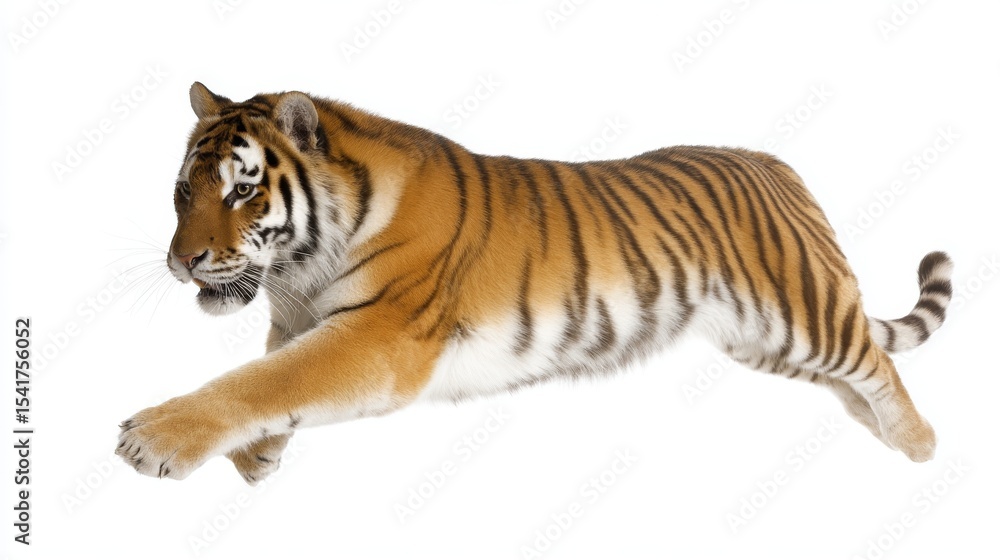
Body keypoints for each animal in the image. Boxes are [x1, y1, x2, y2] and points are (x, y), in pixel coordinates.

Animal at [117, 82, 953, 483]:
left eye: (242, 192)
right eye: (183, 191)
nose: (183, 261)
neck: (298, 270)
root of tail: (774, 162)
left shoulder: (381, 334)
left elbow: (266, 380)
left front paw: (155, 438)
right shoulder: (303, 321)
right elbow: (274, 375)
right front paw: (256, 458)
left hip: (799, 313)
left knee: (874, 360)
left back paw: (917, 445)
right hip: (760, 340)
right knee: (852, 373)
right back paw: (874, 431)